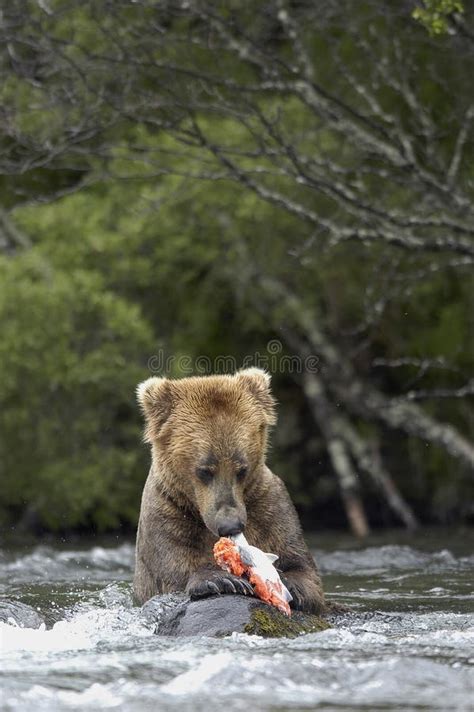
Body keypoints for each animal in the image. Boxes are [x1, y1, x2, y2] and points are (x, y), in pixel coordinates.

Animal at [133, 368, 326, 612]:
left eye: (242, 469)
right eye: (204, 470)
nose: (230, 525)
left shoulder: (268, 505)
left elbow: (302, 566)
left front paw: (287, 581)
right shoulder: (166, 510)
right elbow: (173, 569)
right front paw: (221, 580)